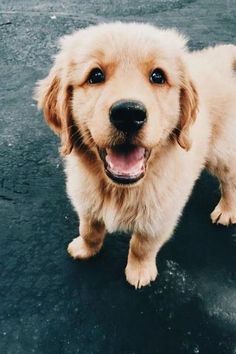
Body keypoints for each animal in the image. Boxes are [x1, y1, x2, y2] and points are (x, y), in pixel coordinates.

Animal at [34, 22, 236, 288]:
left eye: (158, 76)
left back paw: (227, 210)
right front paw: (85, 248)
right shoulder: (86, 199)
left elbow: (142, 245)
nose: (128, 114)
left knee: (230, 180)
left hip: (221, 152)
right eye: (95, 76)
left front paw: (139, 272)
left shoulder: (160, 216)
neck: (119, 189)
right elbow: (89, 228)